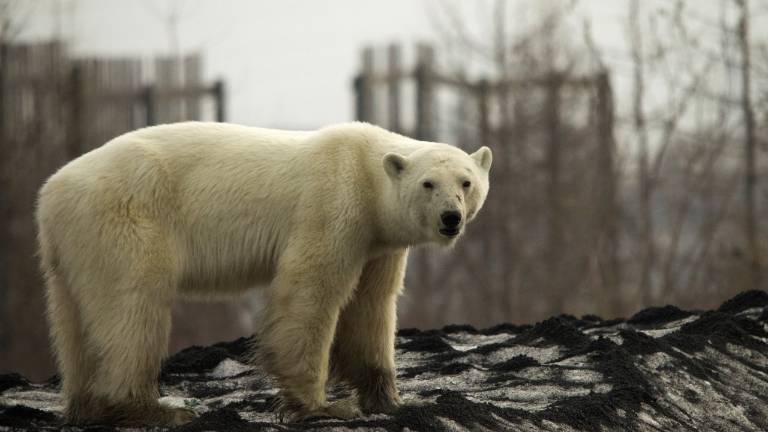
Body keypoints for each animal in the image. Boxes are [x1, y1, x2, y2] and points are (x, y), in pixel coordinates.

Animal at [36, 121, 492, 426]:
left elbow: (371, 307)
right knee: (131, 307)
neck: (365, 169)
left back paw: (87, 407)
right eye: (428, 183)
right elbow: (310, 291)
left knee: (73, 322)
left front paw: (391, 400)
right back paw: (154, 409)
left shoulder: (378, 243)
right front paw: (322, 405)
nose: (450, 218)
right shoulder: (333, 205)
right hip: (125, 218)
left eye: (466, 182)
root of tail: (50, 193)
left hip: (73, 245)